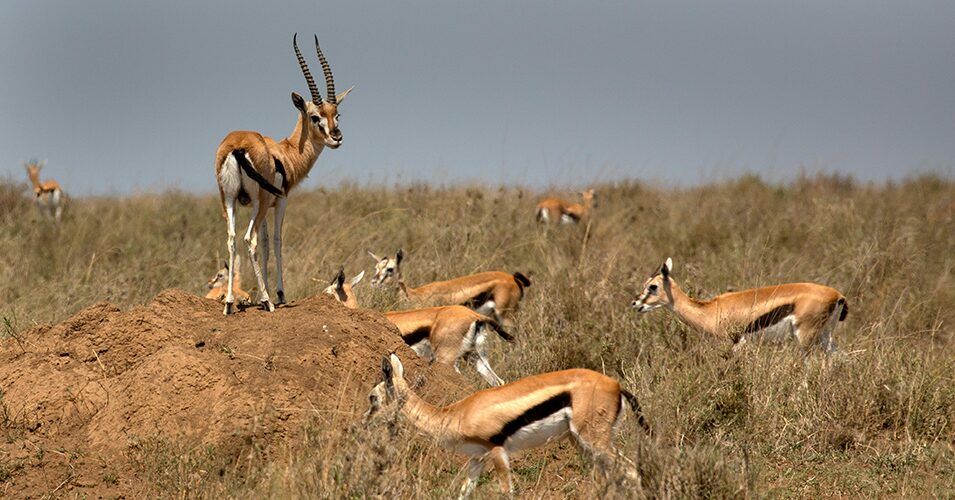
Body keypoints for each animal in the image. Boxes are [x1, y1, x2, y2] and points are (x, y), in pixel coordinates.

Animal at [214, 34, 353, 315]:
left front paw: (262, 294)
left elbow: (266, 245)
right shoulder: (280, 201)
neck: (285, 152)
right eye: (315, 116)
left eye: (337, 114)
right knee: (249, 240)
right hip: (257, 203)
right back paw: (268, 302)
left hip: (230, 201)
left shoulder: (261, 207)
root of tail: (237, 146)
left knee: (232, 240)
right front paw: (277, 294)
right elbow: (276, 242)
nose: (336, 137)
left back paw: (230, 303)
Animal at [366, 353, 650, 498]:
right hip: (583, 444)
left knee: (631, 470)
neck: (457, 414)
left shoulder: (497, 451)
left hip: (595, 441)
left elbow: (507, 492)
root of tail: (616, 385)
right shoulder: (477, 459)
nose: (363, 423)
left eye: (372, 397)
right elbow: (464, 492)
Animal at [369, 250, 531, 326]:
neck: (414, 294)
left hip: (506, 316)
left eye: (390, 269)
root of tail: (513, 278)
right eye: (376, 267)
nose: (373, 282)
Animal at [631, 258, 848, 353]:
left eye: (652, 286)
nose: (635, 303)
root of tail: (838, 295)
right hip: (824, 336)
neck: (710, 310)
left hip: (805, 338)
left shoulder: (735, 343)